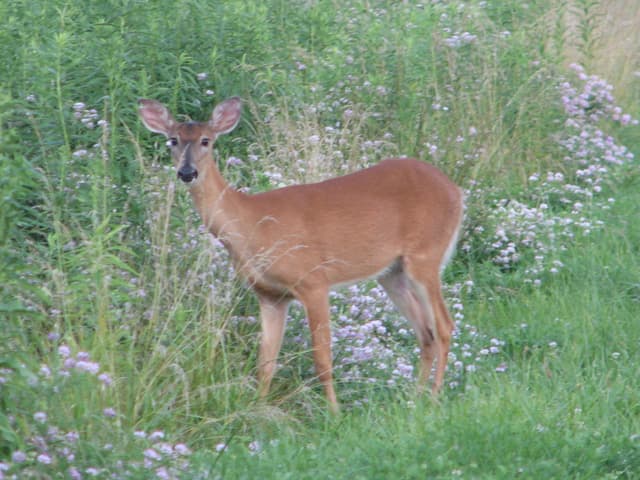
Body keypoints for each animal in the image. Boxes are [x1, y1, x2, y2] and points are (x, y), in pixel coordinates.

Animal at [138, 96, 464, 413]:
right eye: (172, 140)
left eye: (206, 140)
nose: (187, 172)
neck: (253, 224)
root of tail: (456, 191)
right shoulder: (270, 295)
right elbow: (266, 363)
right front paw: (258, 410)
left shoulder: (313, 280)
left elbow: (322, 359)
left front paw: (334, 414)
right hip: (392, 272)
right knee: (426, 332)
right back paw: (415, 399)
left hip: (425, 254)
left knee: (444, 326)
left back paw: (434, 398)